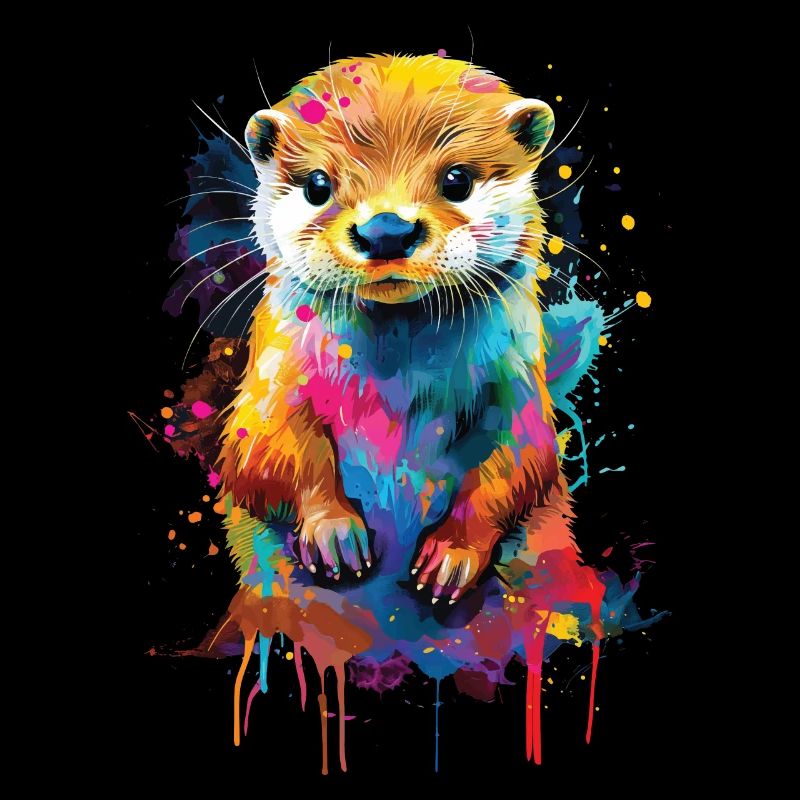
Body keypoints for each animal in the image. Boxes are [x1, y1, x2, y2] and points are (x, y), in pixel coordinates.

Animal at [217, 53, 570, 606]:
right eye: (318, 185)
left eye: (457, 180)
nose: (387, 229)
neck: (398, 388)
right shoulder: (271, 385)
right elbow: (269, 450)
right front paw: (334, 530)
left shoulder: (519, 388)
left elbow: (519, 461)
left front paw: (452, 552)